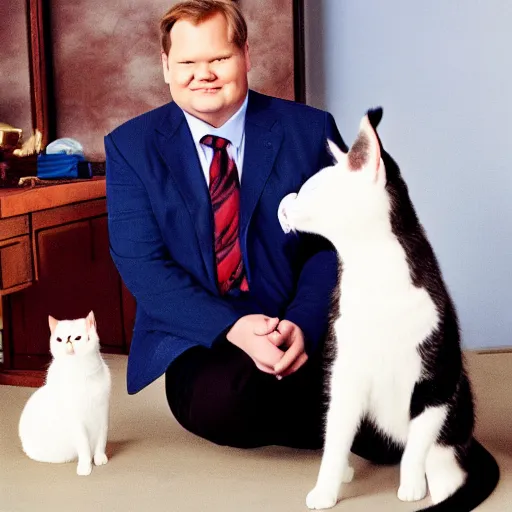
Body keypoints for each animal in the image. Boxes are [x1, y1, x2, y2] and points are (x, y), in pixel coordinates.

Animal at [19, 312, 111, 476]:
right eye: (59, 339)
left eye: (78, 338)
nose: (68, 340)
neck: (80, 372)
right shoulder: (76, 421)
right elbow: (84, 446)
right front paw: (85, 466)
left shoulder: (103, 413)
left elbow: (101, 441)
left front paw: (99, 458)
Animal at [278, 107, 498, 508]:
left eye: (312, 189)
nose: (284, 204)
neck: (373, 277)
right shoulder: (344, 374)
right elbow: (334, 441)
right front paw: (325, 489)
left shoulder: (438, 383)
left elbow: (416, 447)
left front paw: (411, 485)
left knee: (436, 458)